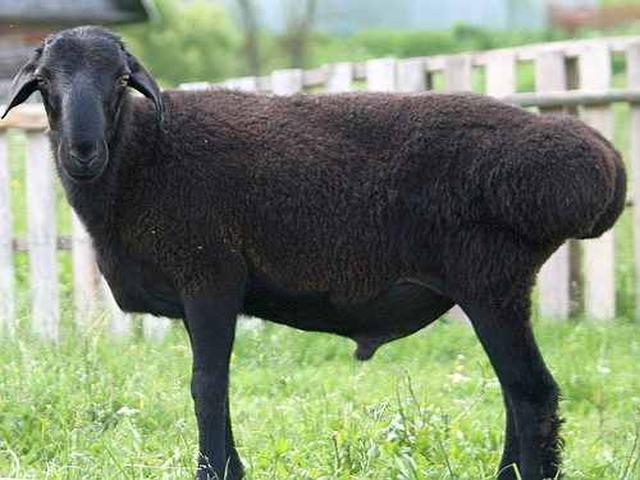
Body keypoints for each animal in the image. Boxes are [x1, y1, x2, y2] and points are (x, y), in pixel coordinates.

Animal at [2, 26, 626, 480]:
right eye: (46, 82)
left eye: (119, 80)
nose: (82, 150)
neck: (140, 156)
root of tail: (603, 162)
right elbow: (214, 384)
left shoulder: (209, 275)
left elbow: (207, 385)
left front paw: (215, 471)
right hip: (496, 285)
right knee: (518, 395)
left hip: (491, 280)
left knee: (532, 393)